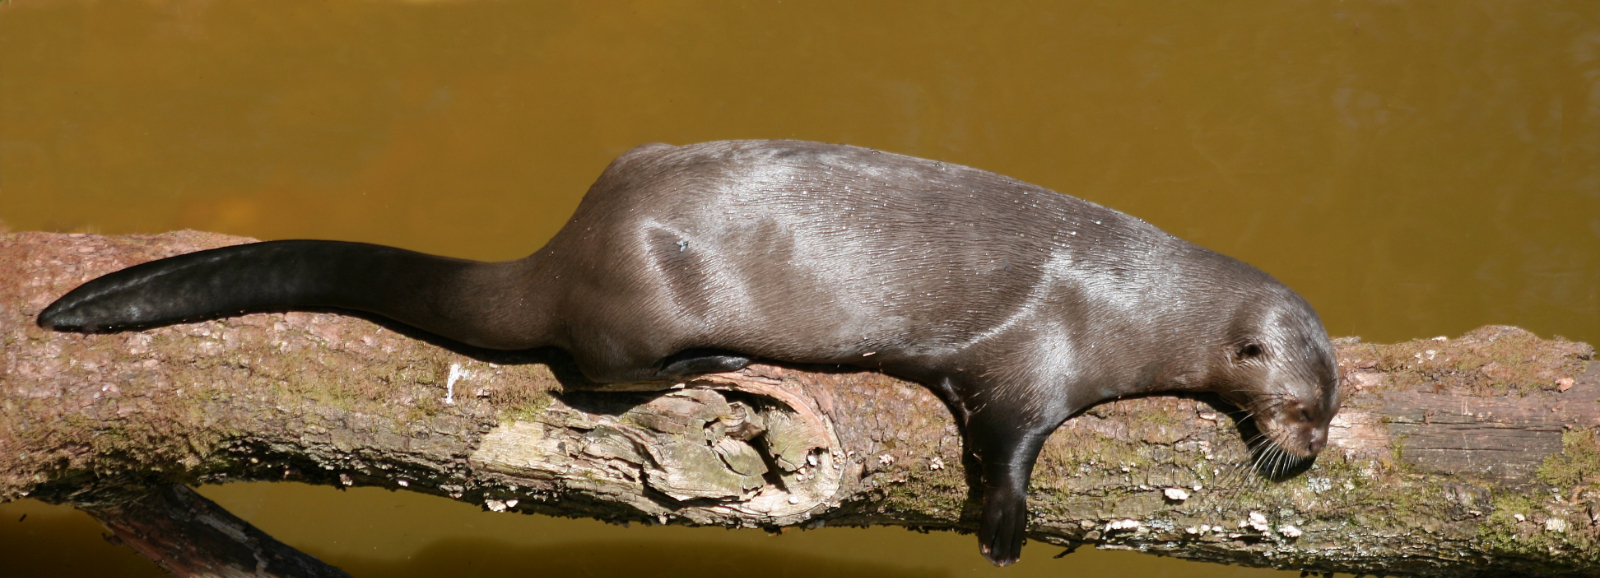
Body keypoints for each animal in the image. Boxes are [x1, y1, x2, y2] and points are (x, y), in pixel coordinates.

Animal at [37, 140, 1340, 566]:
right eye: (1305, 401)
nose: (1313, 448)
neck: (1133, 293)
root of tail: (567, 248)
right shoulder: (1037, 353)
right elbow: (1009, 435)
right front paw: (1007, 527)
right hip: (639, 308)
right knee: (584, 370)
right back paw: (703, 371)